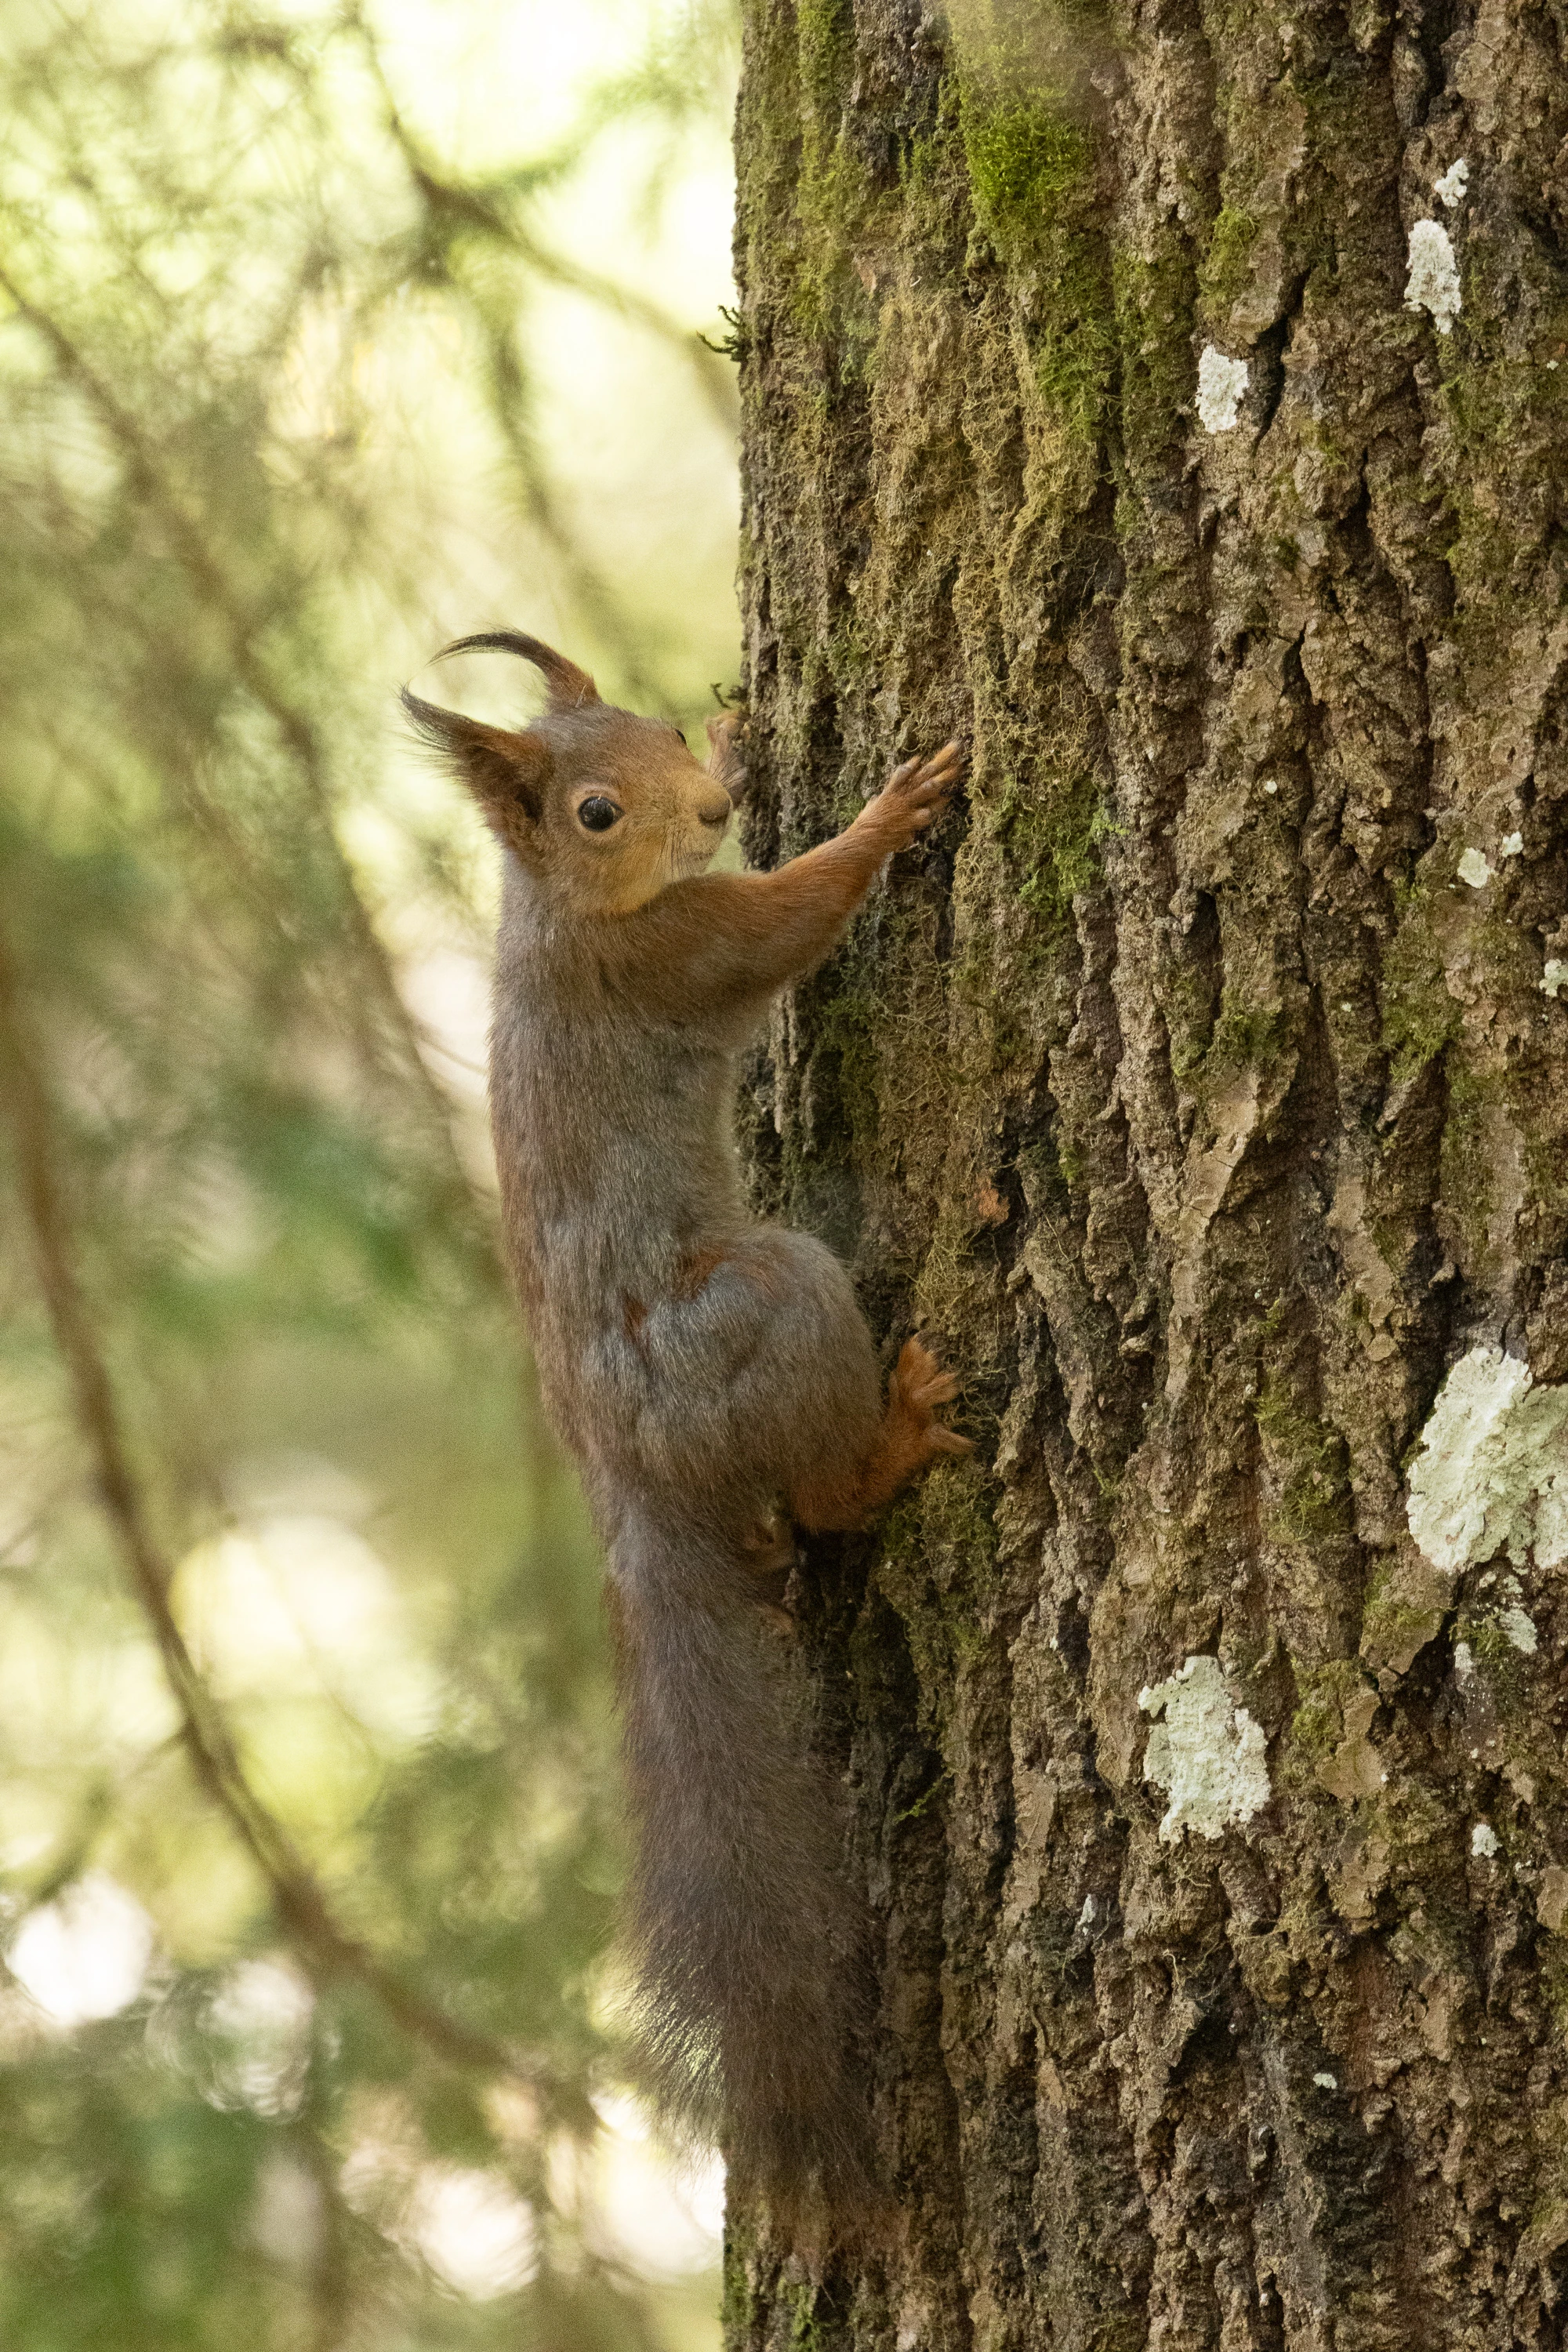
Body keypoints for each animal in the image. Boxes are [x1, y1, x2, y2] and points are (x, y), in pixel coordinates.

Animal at [403, 629, 970, 2233]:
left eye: (656, 727)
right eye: (596, 814)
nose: (714, 807)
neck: (557, 915)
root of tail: (628, 1475)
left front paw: (748, 730)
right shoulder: (678, 954)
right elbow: (787, 922)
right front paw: (888, 810)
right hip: (769, 1303)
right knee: (831, 1494)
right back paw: (893, 1440)